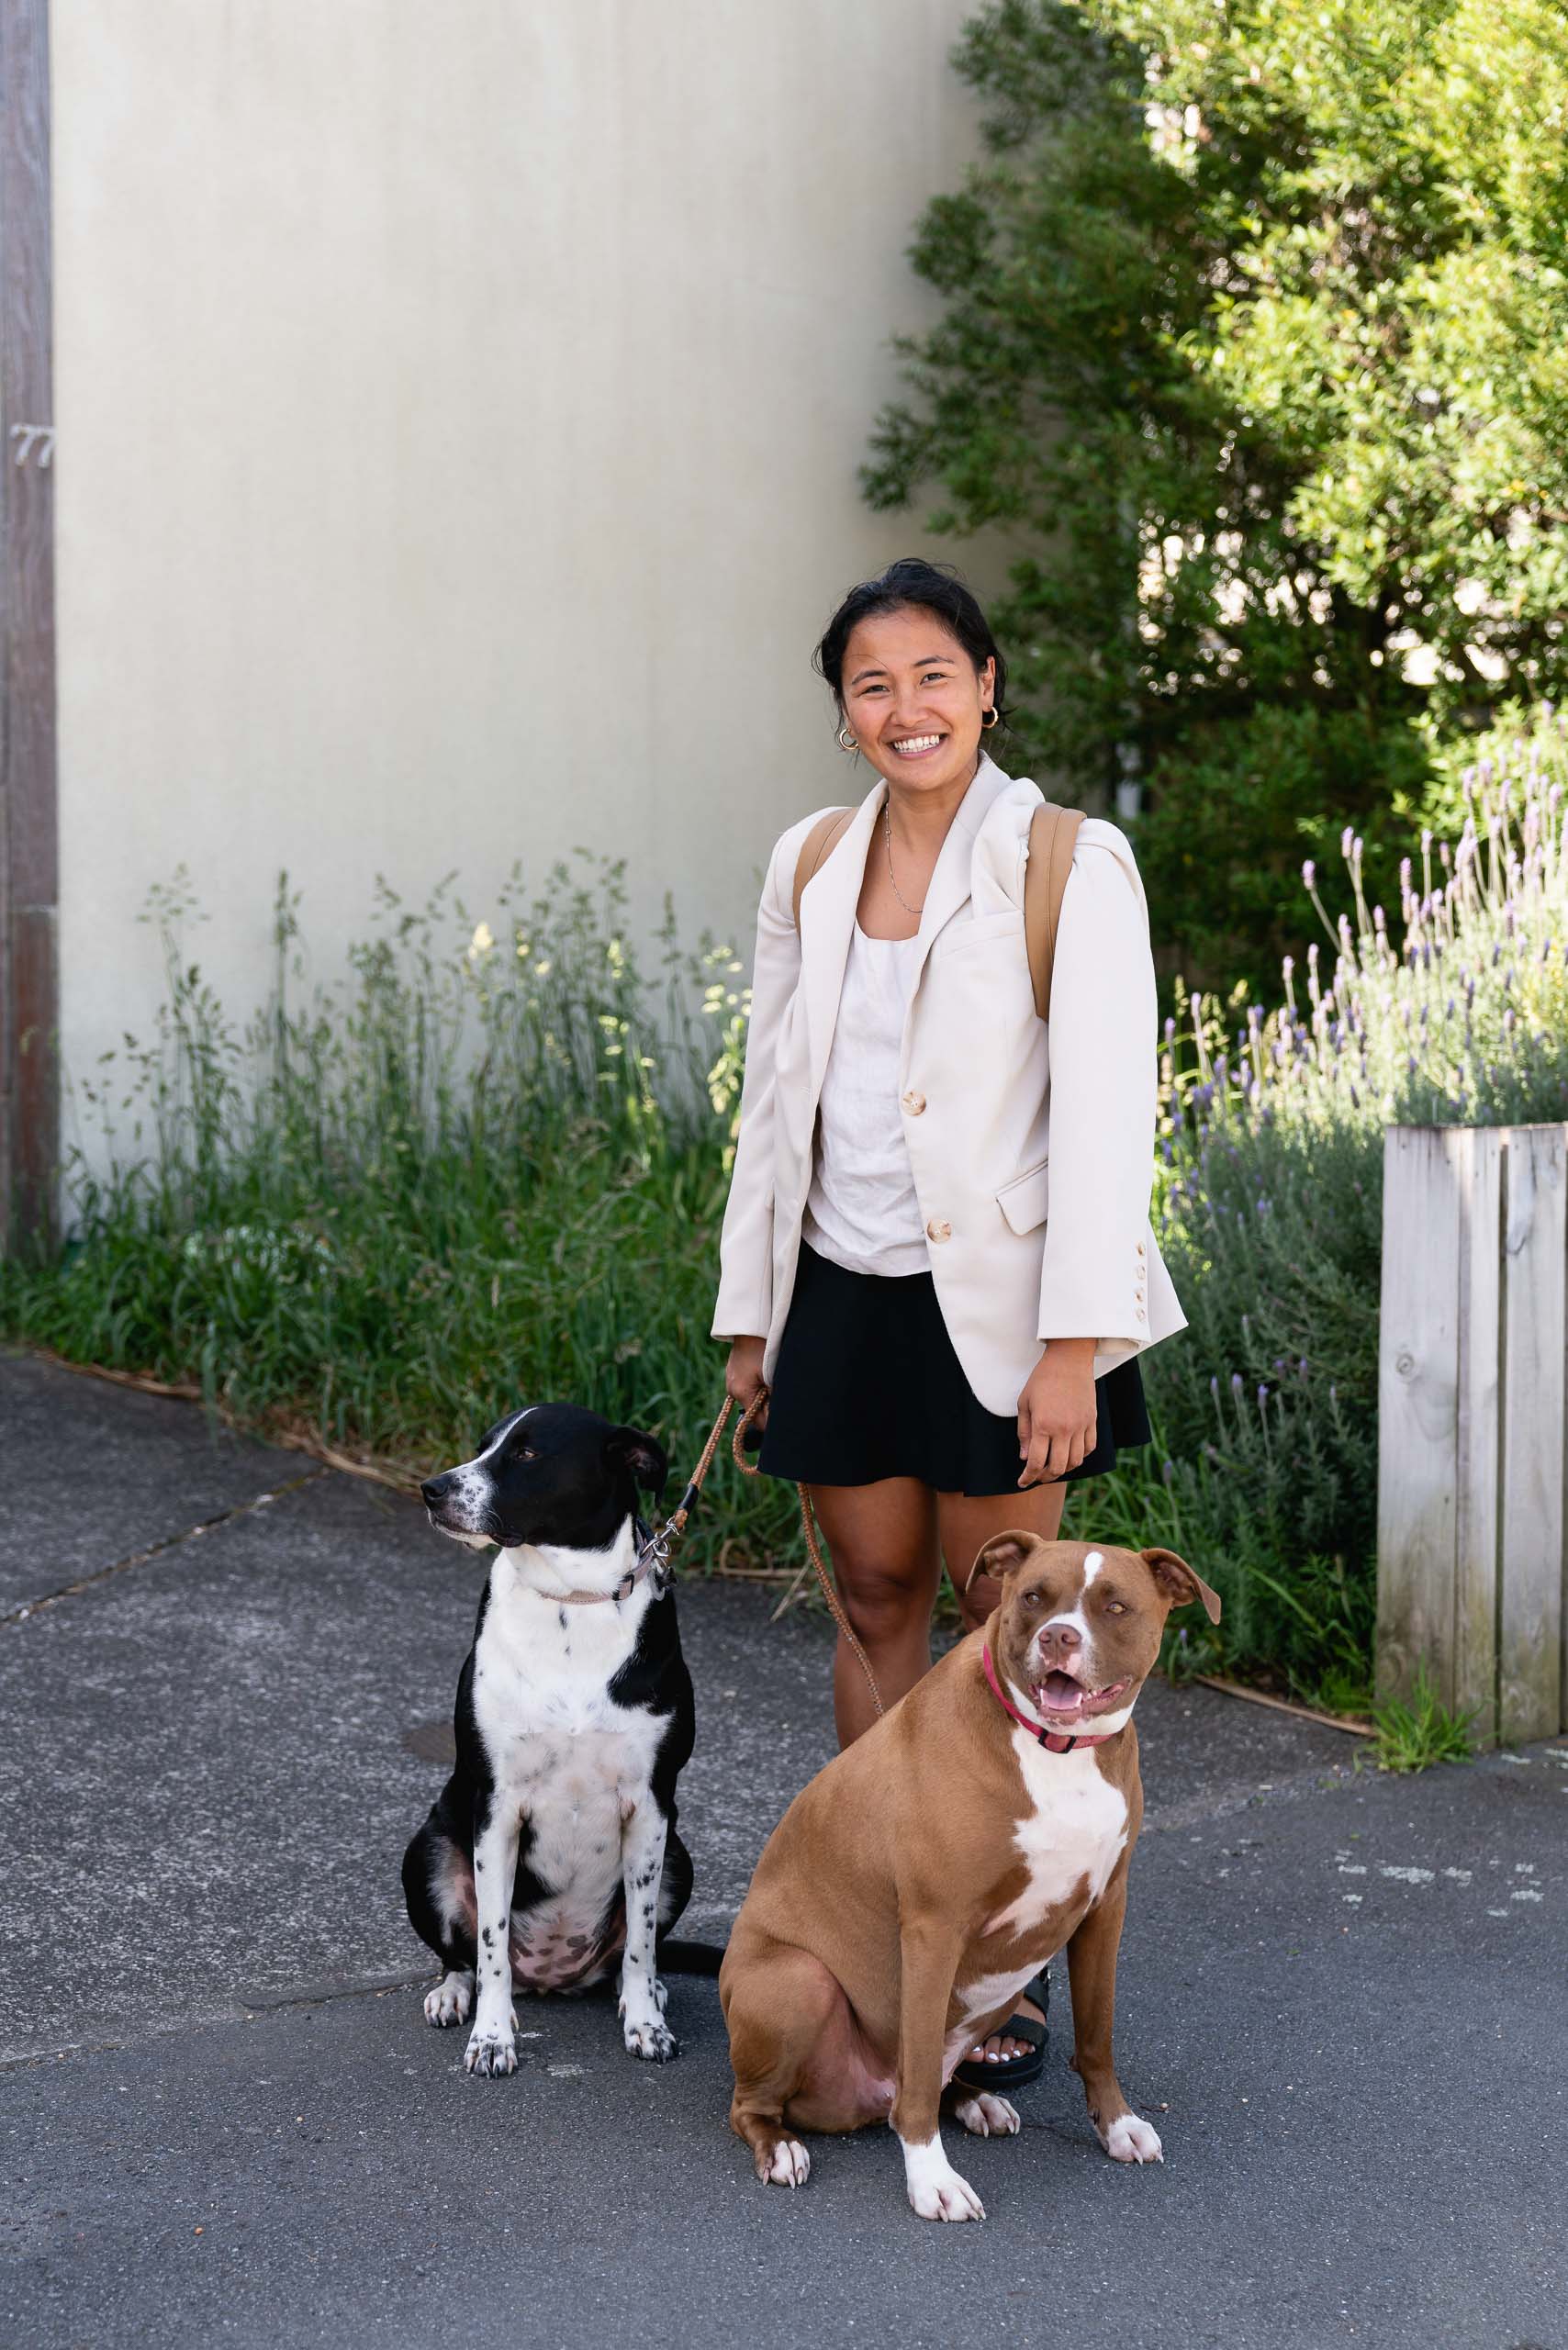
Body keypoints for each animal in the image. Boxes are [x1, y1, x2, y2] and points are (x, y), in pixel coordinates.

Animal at [401, 1400, 710, 2067]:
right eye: (484, 1445)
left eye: (526, 1453)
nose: (432, 1489)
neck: (572, 1601)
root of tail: (552, 1977)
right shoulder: (496, 1807)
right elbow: (490, 1945)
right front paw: (492, 2037)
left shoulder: (651, 1808)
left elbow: (641, 1942)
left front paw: (646, 2025)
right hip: (428, 1851)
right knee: (463, 1955)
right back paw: (453, 1994)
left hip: (677, 1856)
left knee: (628, 1956)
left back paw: (645, 1991)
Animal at [719, 1532, 1222, 2209]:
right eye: (1034, 1597)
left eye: (1115, 1607)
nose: (1059, 1636)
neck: (1053, 1749)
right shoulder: (935, 1928)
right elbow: (919, 2077)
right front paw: (932, 2181)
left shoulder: (1105, 1908)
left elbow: (1097, 2036)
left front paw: (1117, 2126)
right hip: (799, 1981)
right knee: (765, 2104)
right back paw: (781, 2148)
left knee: (928, 2079)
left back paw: (974, 2100)